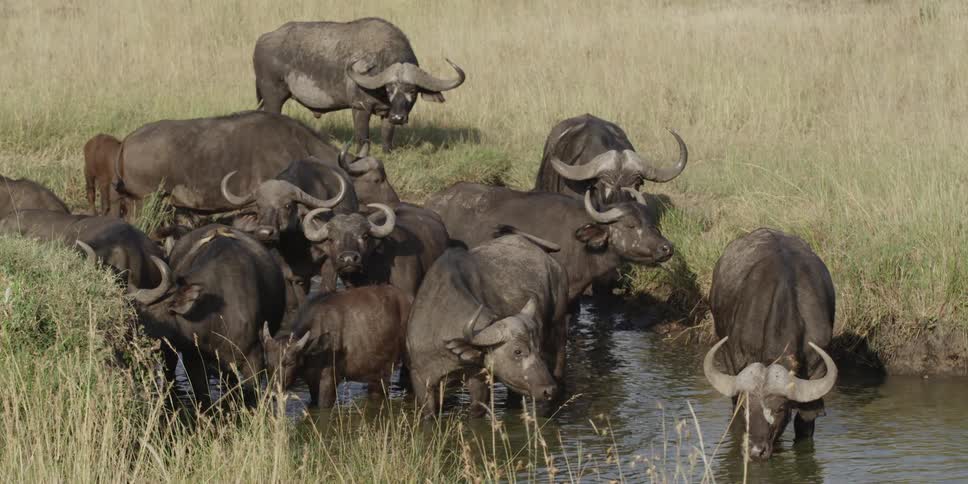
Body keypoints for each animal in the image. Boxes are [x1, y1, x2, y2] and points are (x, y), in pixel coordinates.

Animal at [254, 17, 465, 152]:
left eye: (412, 90)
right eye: (389, 89)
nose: (398, 117)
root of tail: (263, 39)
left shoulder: (387, 114)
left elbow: (387, 135)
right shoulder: (360, 108)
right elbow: (362, 138)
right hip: (273, 97)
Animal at [406, 229, 569, 417]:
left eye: (537, 347)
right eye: (517, 351)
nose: (549, 390)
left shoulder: (479, 378)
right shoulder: (420, 377)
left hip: (559, 325)